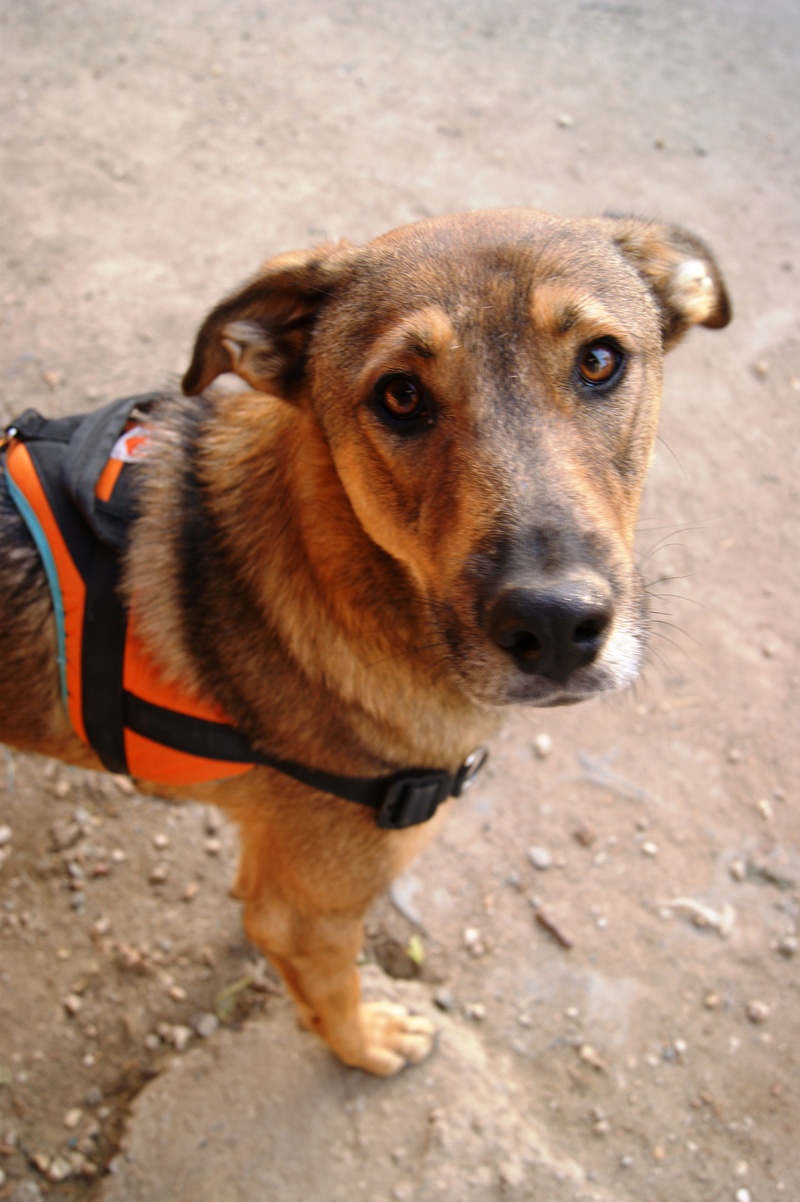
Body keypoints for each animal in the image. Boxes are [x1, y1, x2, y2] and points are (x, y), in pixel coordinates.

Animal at [0, 206, 730, 1072]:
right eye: (401, 395)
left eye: (599, 360)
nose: (555, 626)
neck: (342, 567)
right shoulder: (306, 912)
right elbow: (334, 995)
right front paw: (369, 1044)